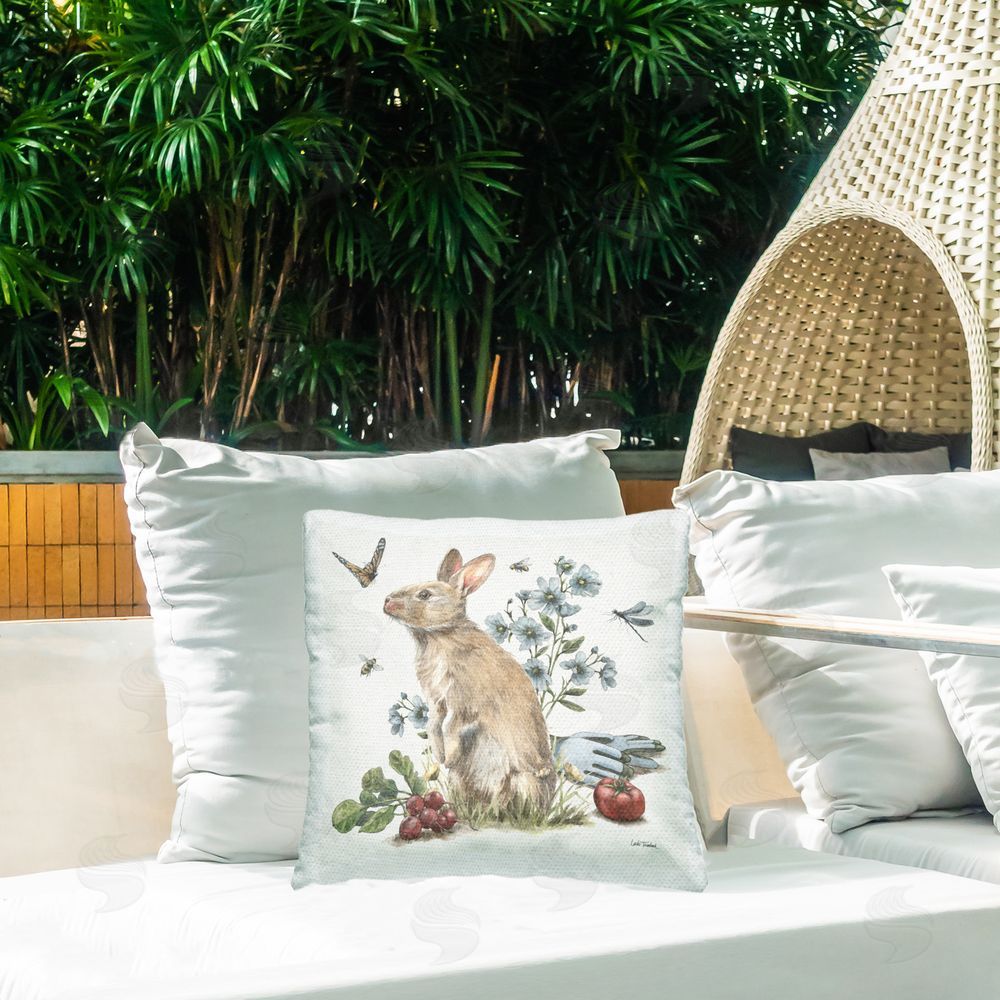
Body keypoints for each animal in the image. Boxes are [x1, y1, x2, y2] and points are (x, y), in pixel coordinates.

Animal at [383, 549, 557, 813]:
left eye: (425, 594)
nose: (386, 601)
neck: (438, 635)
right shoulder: (438, 701)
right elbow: (433, 725)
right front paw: (441, 756)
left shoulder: (463, 702)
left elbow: (449, 727)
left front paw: (449, 757)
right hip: (460, 781)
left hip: (523, 780)